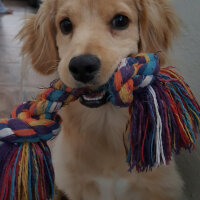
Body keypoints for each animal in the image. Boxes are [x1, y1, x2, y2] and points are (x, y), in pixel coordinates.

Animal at [18, 0, 184, 199]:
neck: (105, 123)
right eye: (65, 25)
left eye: (120, 20)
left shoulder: (158, 187)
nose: (82, 66)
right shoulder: (74, 185)